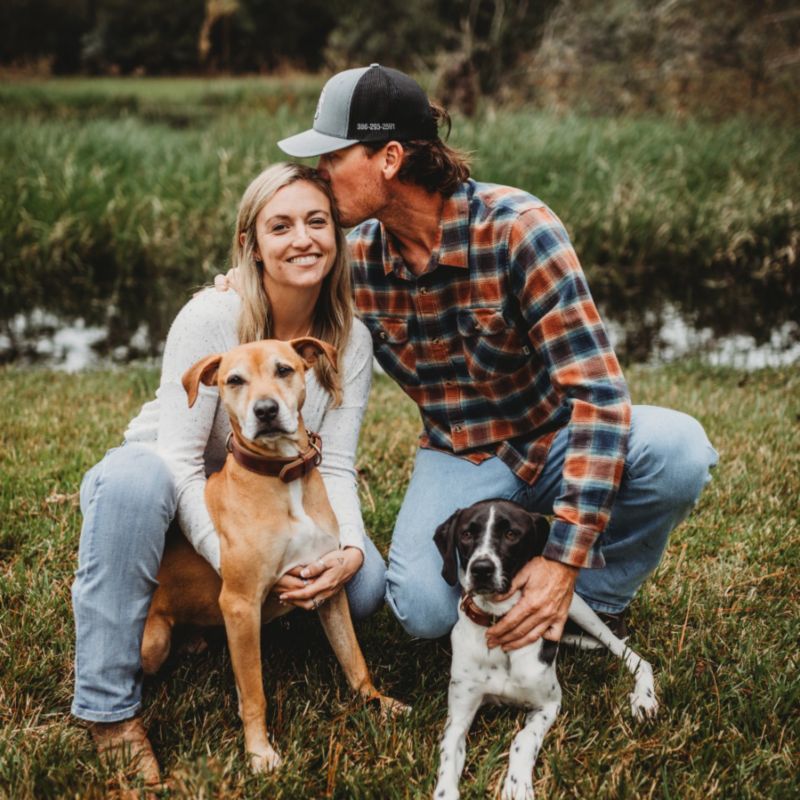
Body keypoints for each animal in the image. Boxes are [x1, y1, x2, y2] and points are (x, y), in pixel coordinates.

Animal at [432, 499, 658, 800]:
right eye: (467, 534)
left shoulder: (549, 704)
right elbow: (448, 755)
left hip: (578, 608)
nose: (481, 569)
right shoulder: (458, 715)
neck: (498, 621)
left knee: (632, 656)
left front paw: (517, 784)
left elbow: (523, 738)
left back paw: (643, 698)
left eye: (511, 534)